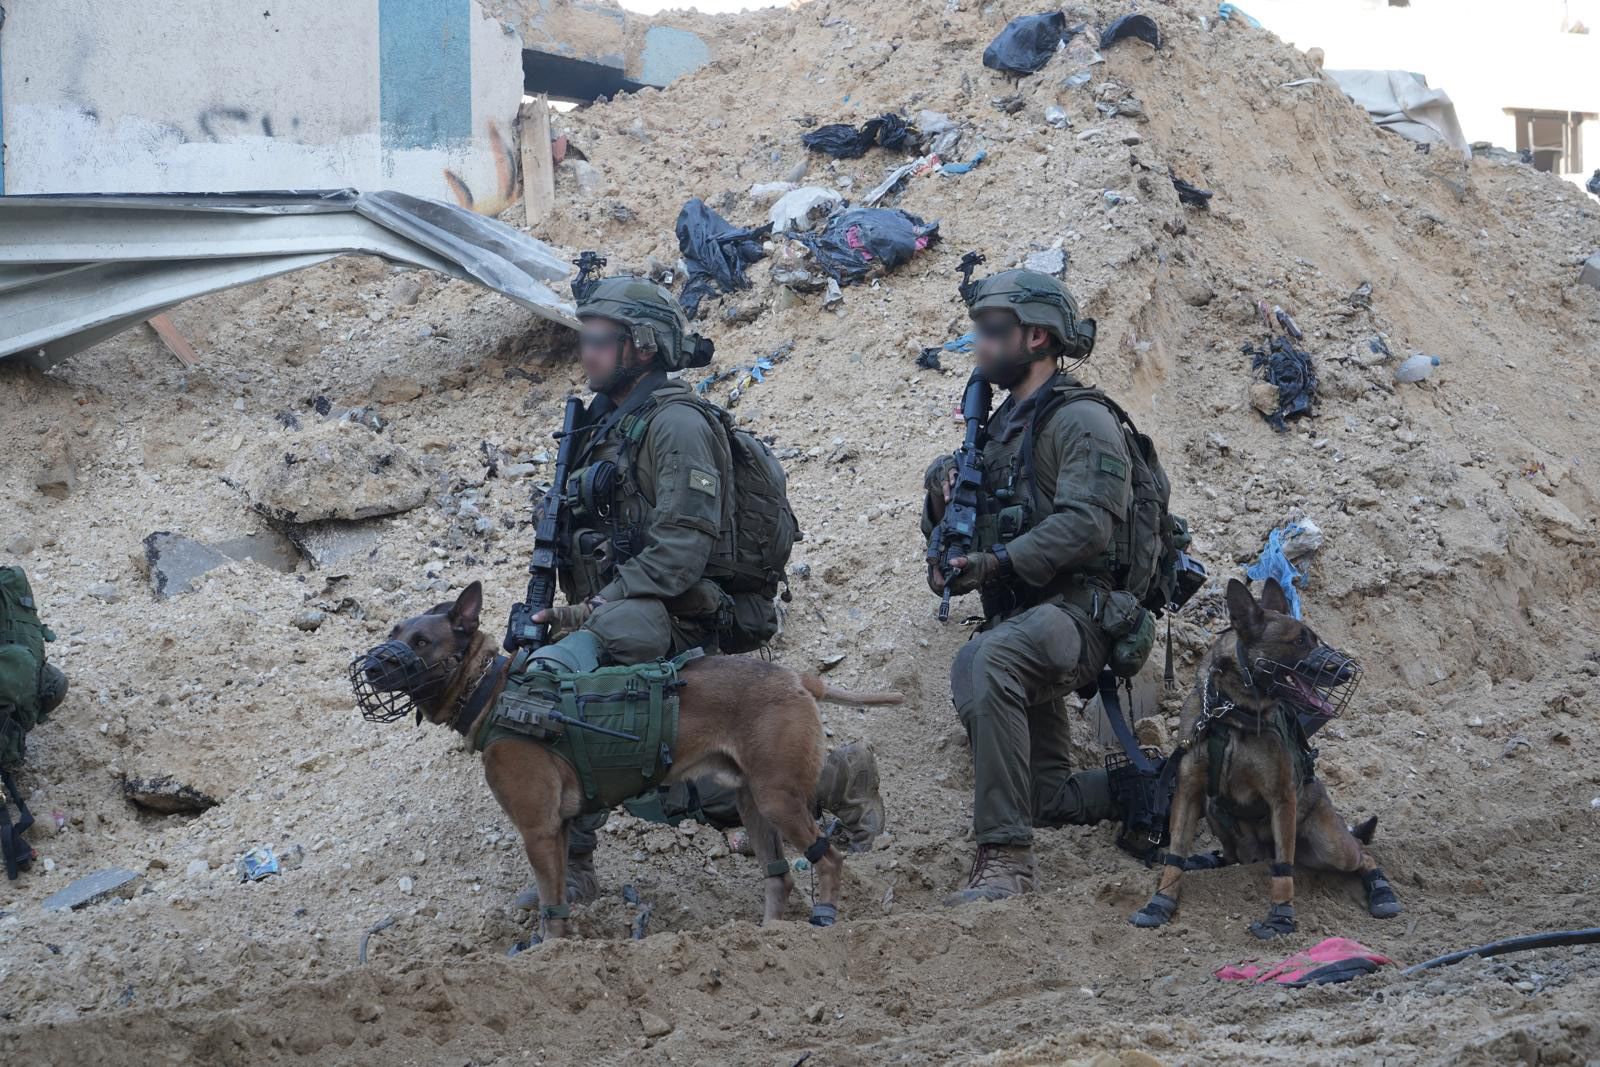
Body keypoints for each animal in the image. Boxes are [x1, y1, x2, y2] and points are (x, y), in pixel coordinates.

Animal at [353, 585, 902, 940]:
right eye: (394, 631)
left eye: (422, 642)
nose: (371, 665)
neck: (493, 689)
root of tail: (797, 678)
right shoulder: (559, 829)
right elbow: (560, 897)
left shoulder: (538, 830)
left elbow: (550, 906)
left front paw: (548, 955)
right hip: (754, 803)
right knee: (779, 876)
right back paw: (768, 939)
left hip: (777, 799)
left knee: (827, 858)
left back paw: (822, 920)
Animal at [1126, 579, 1401, 940]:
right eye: (1298, 641)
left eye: (1313, 638)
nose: (1345, 672)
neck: (1232, 714)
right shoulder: (1188, 792)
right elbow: (1175, 854)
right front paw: (1161, 901)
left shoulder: (1282, 798)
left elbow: (1284, 870)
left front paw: (1281, 916)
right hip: (1214, 811)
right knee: (1232, 856)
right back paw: (1211, 860)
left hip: (1330, 845)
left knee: (1363, 854)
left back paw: (1381, 890)